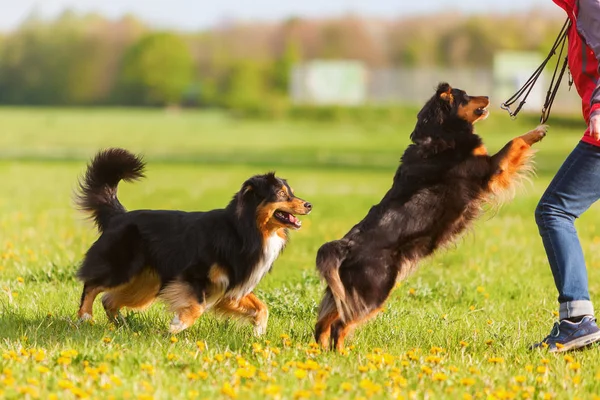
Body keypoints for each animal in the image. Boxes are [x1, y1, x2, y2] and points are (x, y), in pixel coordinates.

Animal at [75, 148, 312, 336]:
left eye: (291, 193)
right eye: (281, 194)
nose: (309, 205)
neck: (243, 230)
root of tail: (118, 215)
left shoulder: (231, 286)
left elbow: (262, 307)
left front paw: (259, 333)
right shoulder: (192, 275)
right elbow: (197, 306)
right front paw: (177, 325)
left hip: (146, 283)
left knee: (109, 300)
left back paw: (122, 326)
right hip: (123, 267)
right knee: (93, 285)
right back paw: (85, 316)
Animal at [314, 82, 548, 350]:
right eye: (465, 95)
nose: (488, 96)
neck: (440, 132)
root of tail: (346, 245)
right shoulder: (489, 167)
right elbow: (514, 142)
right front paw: (538, 131)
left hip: (347, 291)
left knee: (323, 323)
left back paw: (321, 352)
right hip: (374, 289)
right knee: (340, 326)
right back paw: (341, 354)